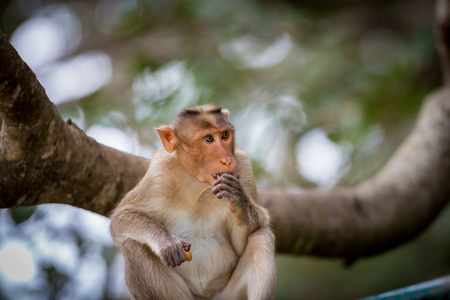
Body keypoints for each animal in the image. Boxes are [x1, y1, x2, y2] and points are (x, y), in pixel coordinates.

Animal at [110, 104, 276, 298]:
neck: (197, 184)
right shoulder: (159, 173)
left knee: (262, 237)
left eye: (225, 135)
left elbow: (244, 240)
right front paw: (165, 242)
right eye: (208, 139)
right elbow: (122, 217)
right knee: (133, 247)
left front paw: (238, 199)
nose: (227, 160)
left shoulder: (243, 165)